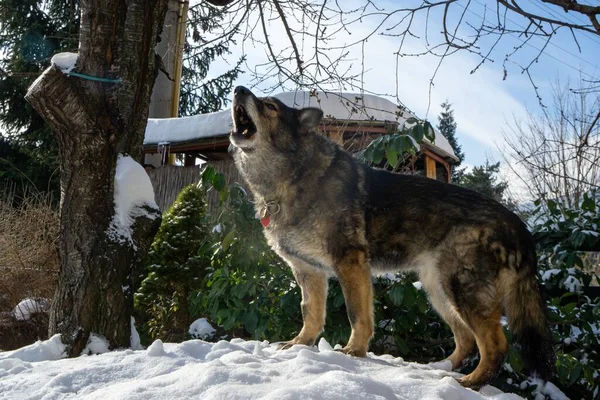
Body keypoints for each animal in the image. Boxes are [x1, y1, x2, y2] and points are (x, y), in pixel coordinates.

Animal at [227, 86, 556, 390]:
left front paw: (354, 351)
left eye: (270, 106)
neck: (295, 172)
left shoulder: (350, 264)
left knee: (495, 344)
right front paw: (300, 344)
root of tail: (518, 225)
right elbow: (311, 312)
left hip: (462, 289)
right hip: (438, 288)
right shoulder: (309, 272)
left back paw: (470, 382)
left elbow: (357, 313)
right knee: (466, 338)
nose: (239, 89)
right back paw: (440, 368)